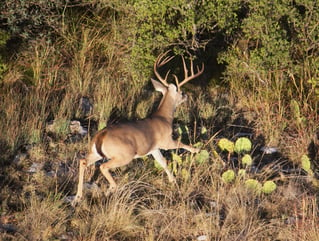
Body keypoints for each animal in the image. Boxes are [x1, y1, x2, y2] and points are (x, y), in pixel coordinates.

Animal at [71, 51, 204, 205]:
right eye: (180, 91)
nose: (186, 96)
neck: (164, 118)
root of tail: (100, 136)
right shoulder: (166, 141)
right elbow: (183, 145)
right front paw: (198, 150)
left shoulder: (153, 148)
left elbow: (163, 163)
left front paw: (173, 181)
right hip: (124, 155)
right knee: (103, 166)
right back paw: (111, 189)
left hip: (96, 153)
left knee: (83, 161)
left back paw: (78, 197)